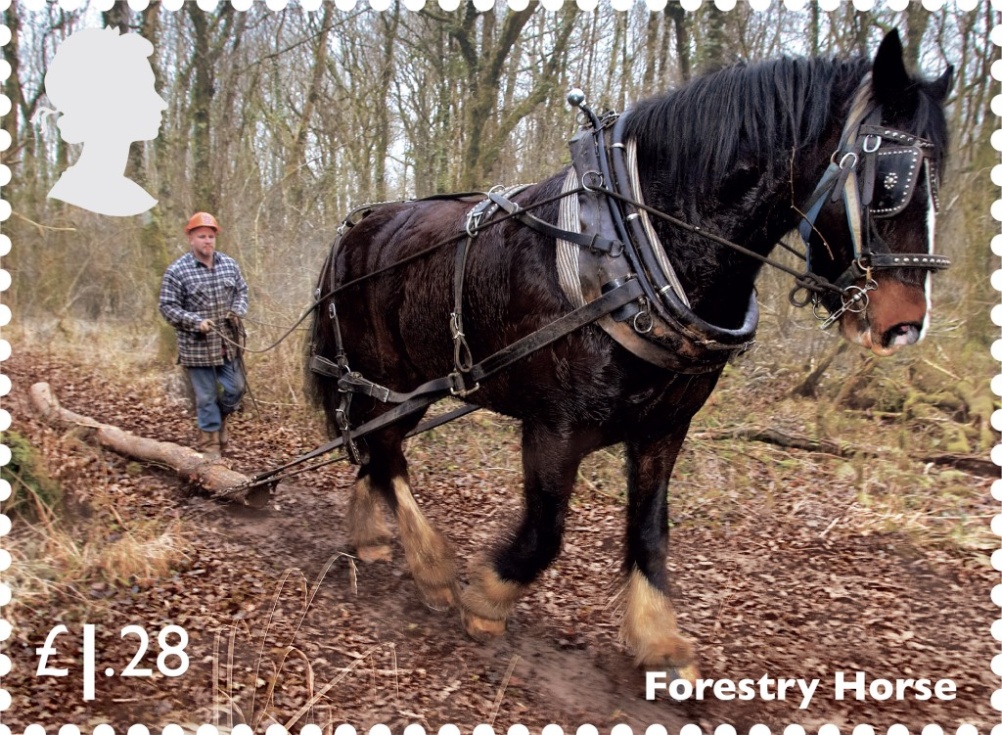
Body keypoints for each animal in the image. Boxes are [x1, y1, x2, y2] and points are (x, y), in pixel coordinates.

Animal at [308, 34, 949, 680]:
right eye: (891, 181)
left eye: (939, 178)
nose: (904, 324)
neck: (636, 247)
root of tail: (355, 228)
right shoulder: (555, 428)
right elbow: (545, 534)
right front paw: (487, 598)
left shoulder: (664, 428)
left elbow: (648, 530)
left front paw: (658, 638)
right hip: (389, 373)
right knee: (386, 450)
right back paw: (432, 567)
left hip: (410, 384)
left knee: (376, 446)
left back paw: (371, 535)